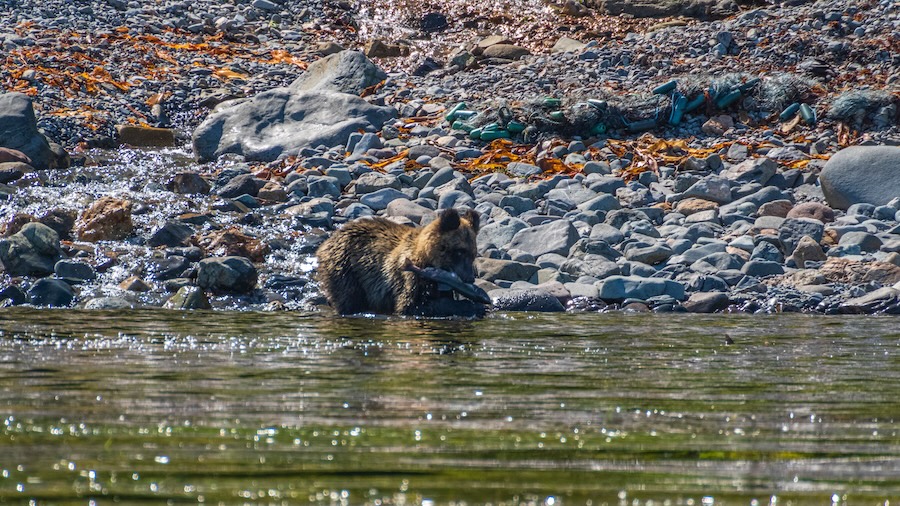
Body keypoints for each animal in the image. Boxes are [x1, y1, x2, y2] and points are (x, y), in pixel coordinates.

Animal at [316, 208, 481, 316]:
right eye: (460, 251)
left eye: (473, 253)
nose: (469, 278)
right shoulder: (408, 277)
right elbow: (410, 305)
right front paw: (470, 306)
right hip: (345, 265)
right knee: (348, 295)